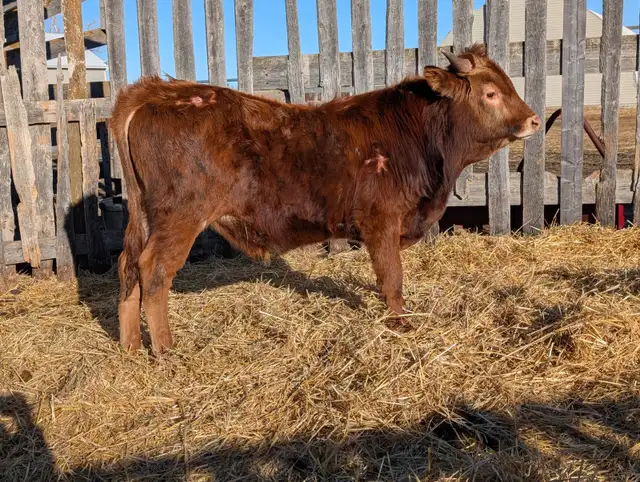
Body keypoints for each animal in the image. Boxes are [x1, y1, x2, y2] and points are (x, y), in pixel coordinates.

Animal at [110, 44, 541, 354]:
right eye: (490, 93)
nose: (534, 119)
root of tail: (159, 91)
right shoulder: (381, 222)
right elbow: (392, 277)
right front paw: (400, 323)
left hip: (145, 215)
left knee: (127, 266)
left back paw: (130, 348)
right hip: (180, 216)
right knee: (153, 271)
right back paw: (166, 350)